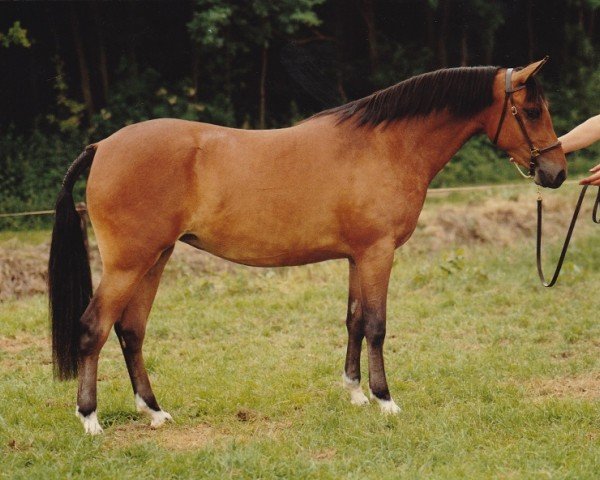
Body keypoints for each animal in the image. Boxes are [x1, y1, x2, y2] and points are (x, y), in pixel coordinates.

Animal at [48, 58, 568, 434]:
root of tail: (103, 145)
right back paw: (90, 420)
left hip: (155, 259)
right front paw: (385, 400)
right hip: (128, 263)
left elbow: (354, 320)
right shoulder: (378, 253)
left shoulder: (359, 256)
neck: (384, 146)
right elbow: (377, 325)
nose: (557, 172)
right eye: (533, 111)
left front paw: (355, 393)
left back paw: (153, 412)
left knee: (131, 331)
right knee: (94, 328)